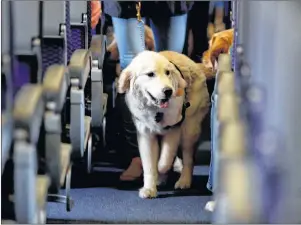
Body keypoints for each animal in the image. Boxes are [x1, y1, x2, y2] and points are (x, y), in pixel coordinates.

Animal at [117, 51, 209, 199]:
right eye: (150, 74)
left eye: (167, 73)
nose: (168, 91)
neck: (156, 110)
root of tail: (194, 63)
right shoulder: (146, 135)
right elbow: (149, 165)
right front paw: (149, 189)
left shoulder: (174, 129)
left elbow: (165, 159)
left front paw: (160, 170)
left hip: (189, 130)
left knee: (188, 159)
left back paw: (184, 181)